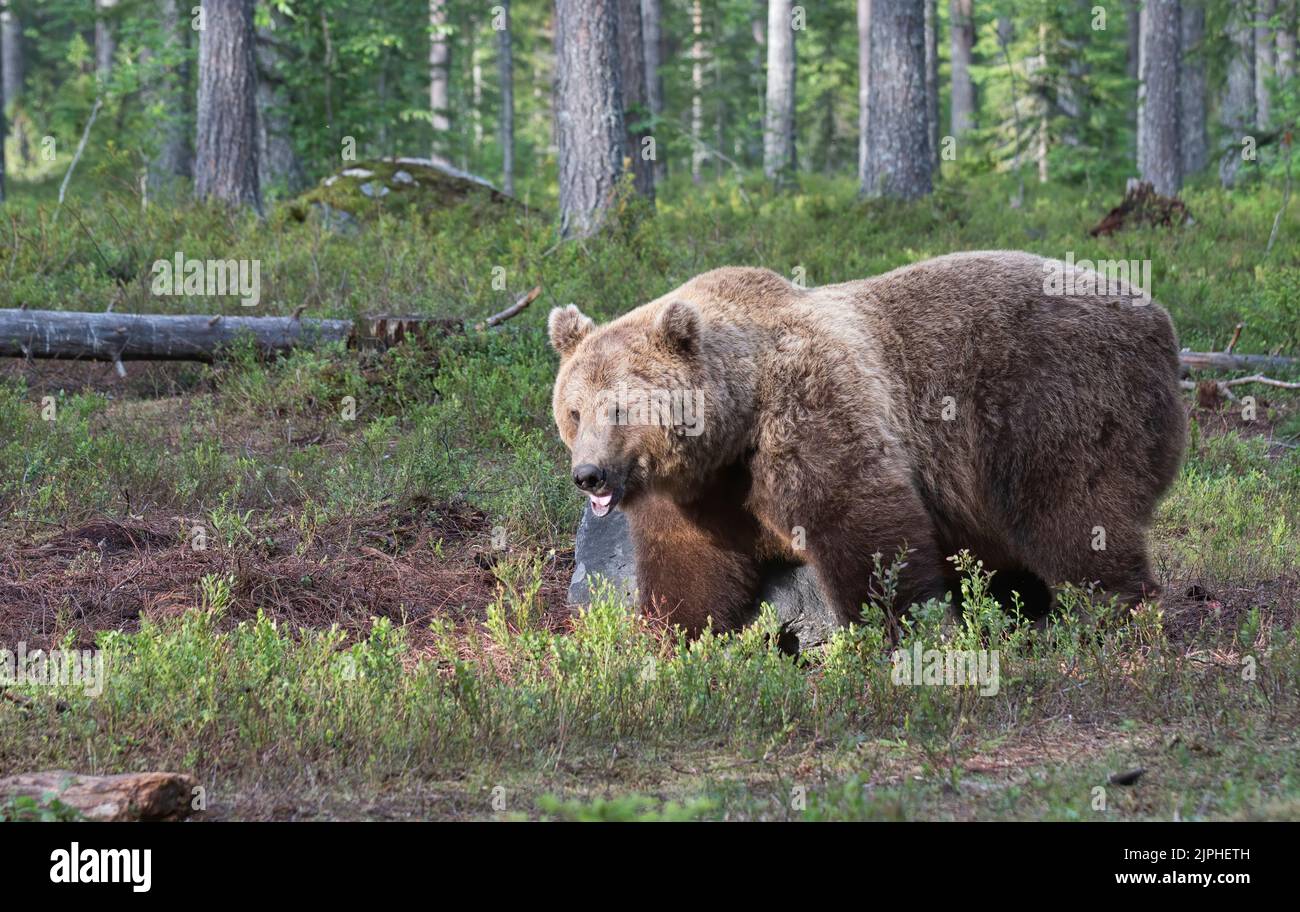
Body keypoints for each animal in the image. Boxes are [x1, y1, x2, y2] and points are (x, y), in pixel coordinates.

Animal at [548, 251, 1186, 637]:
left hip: (1057, 404)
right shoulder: (698, 494)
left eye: (620, 407)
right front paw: (667, 638)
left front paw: (902, 629)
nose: (590, 475)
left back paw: (1111, 616)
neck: (737, 419)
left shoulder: (810, 410)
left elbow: (864, 524)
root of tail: (1158, 315)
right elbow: (690, 568)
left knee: (1073, 517)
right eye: (574, 411)